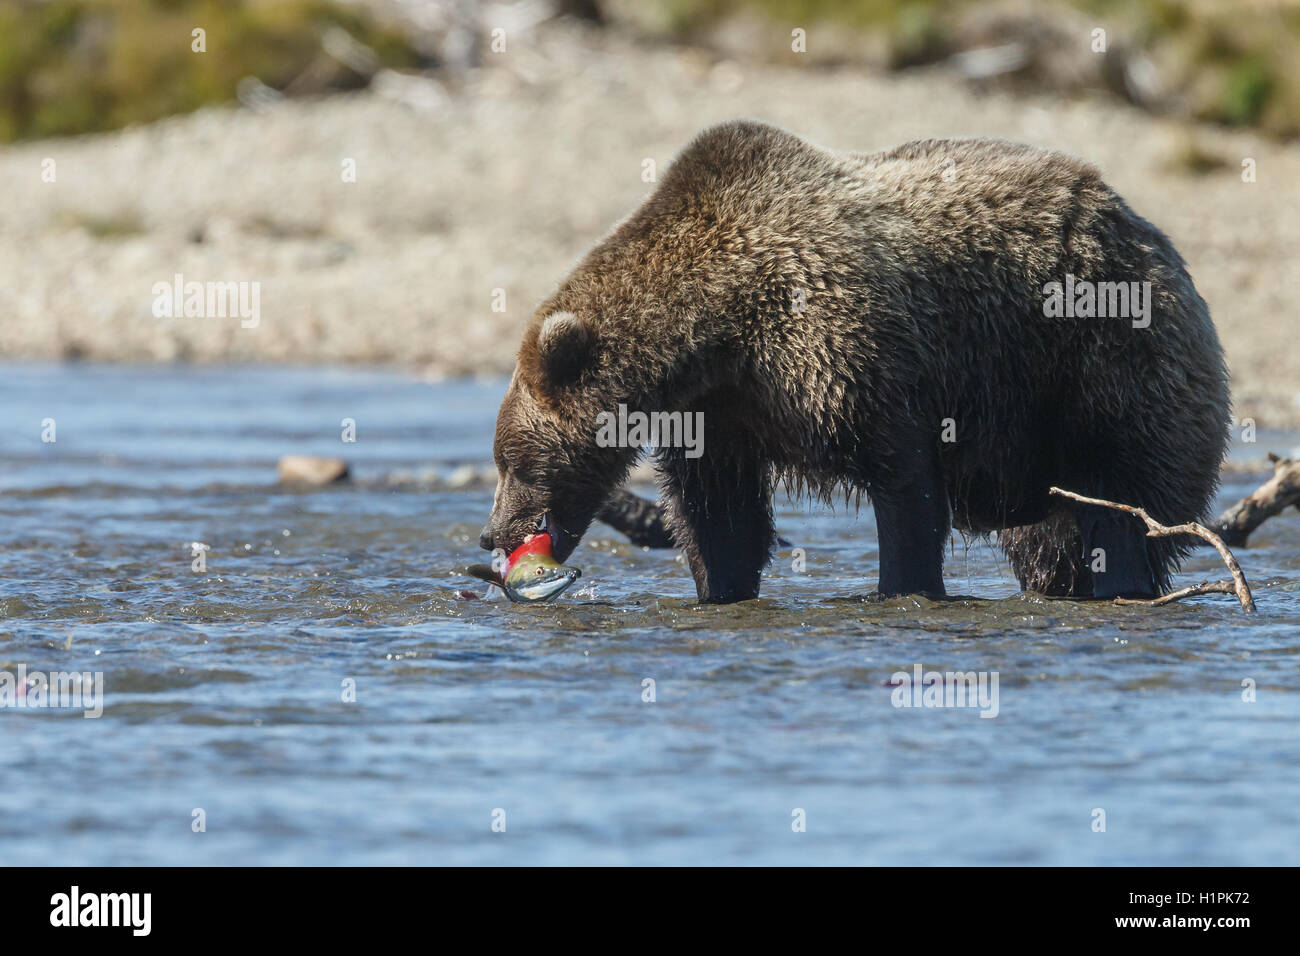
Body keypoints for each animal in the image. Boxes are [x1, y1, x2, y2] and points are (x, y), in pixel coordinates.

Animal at [479, 120, 1230, 604]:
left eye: (512, 460)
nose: (493, 533)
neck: (716, 333)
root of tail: (1150, 234)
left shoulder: (845, 350)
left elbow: (904, 486)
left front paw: (904, 590)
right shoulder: (721, 414)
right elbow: (718, 516)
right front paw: (720, 590)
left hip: (1101, 369)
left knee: (1120, 510)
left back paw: (1123, 585)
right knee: (1053, 542)